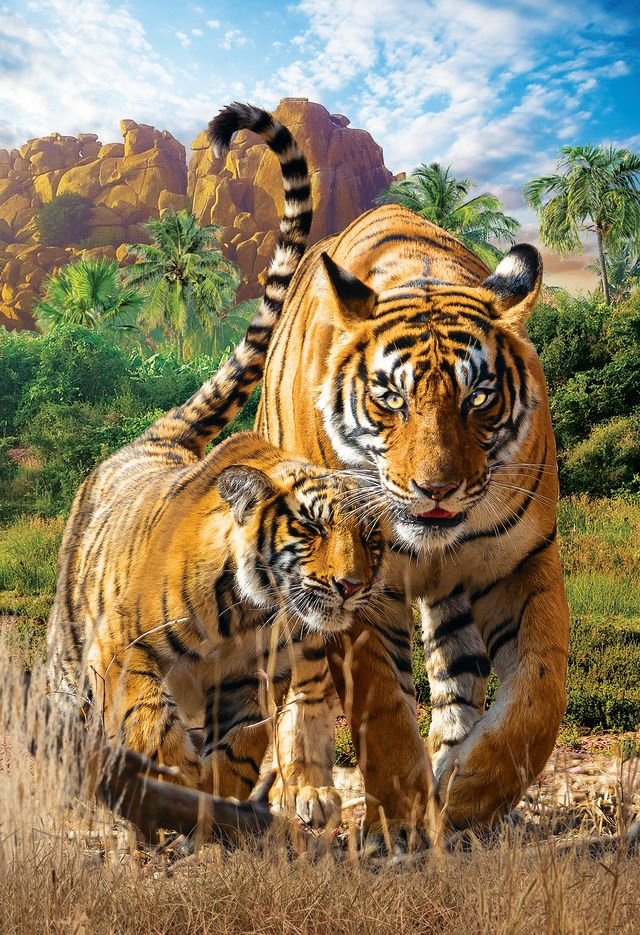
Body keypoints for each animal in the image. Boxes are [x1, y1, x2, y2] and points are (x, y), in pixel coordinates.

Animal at [46, 103, 386, 805]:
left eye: (372, 539)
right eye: (311, 527)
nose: (351, 585)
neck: (245, 615)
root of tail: (156, 440)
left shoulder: (248, 685)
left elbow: (240, 748)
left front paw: (220, 792)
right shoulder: (123, 650)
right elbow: (148, 721)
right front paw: (173, 773)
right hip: (68, 645)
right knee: (75, 707)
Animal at [207, 105, 570, 841]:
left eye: (478, 397)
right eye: (389, 398)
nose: (436, 489)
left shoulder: (525, 561)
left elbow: (538, 695)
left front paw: (467, 795)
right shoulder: (357, 589)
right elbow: (382, 709)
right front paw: (401, 822)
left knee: (457, 676)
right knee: (303, 688)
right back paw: (309, 791)